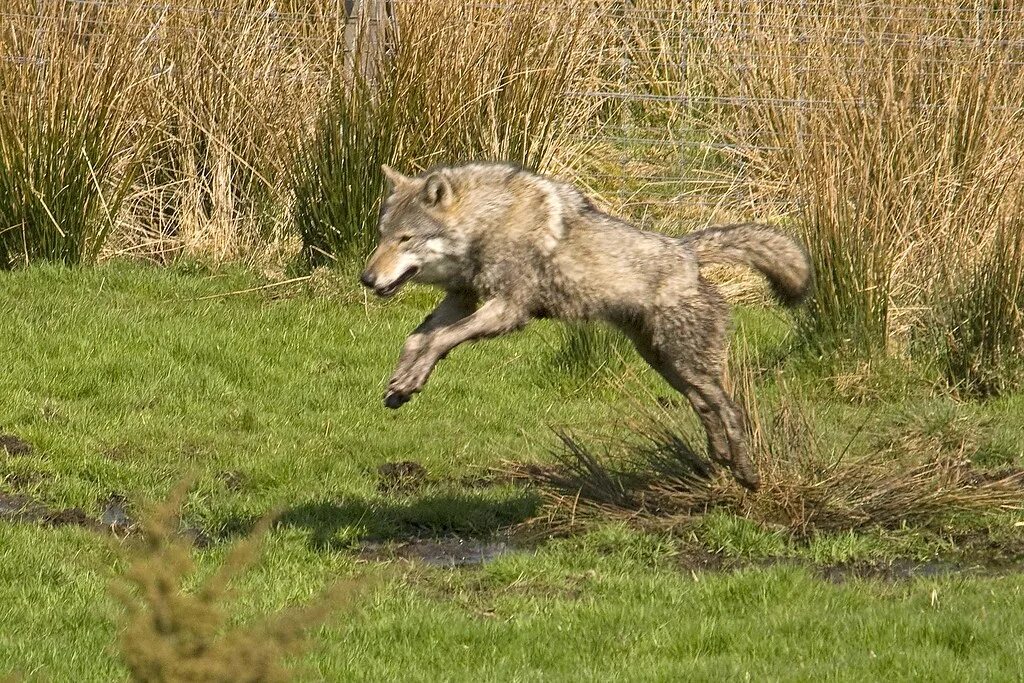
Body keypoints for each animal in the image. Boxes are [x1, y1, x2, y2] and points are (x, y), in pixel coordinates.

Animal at [364, 162, 811, 489]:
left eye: (405, 239)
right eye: (382, 236)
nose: (366, 279)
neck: (487, 222)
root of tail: (687, 252)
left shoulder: (508, 309)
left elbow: (439, 339)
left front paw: (411, 380)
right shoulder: (463, 298)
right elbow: (417, 339)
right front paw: (401, 383)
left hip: (684, 363)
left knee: (732, 409)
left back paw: (746, 474)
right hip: (665, 364)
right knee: (706, 406)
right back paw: (718, 459)